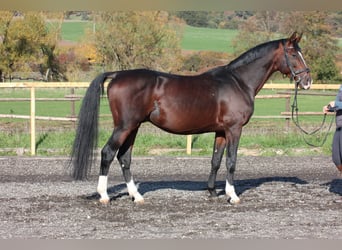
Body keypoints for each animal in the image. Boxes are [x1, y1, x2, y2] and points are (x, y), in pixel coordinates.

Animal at [70, 32, 312, 205]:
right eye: (293, 54)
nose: (307, 81)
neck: (238, 81)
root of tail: (118, 74)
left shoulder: (221, 131)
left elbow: (216, 160)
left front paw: (212, 192)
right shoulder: (234, 129)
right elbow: (231, 161)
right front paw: (232, 195)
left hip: (134, 127)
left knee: (124, 157)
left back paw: (136, 196)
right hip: (125, 126)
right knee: (108, 153)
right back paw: (104, 196)